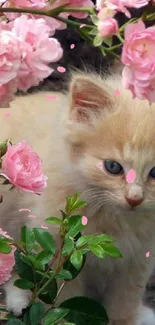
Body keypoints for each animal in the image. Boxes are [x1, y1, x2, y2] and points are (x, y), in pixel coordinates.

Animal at [0, 72, 155, 322]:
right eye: (113, 167)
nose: (134, 198)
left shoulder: (139, 258)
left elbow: (125, 298)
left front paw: (125, 320)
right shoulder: (59, 250)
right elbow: (62, 300)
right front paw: (63, 321)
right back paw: (19, 301)